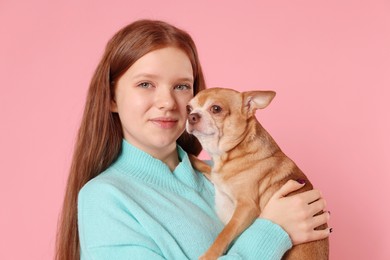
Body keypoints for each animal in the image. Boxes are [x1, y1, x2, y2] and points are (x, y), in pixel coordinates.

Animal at [186, 88, 330, 258]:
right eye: (188, 108)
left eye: (216, 109)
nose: (191, 116)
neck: (231, 154)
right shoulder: (217, 176)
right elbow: (203, 165)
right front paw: (187, 155)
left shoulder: (247, 206)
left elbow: (225, 233)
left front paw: (208, 255)